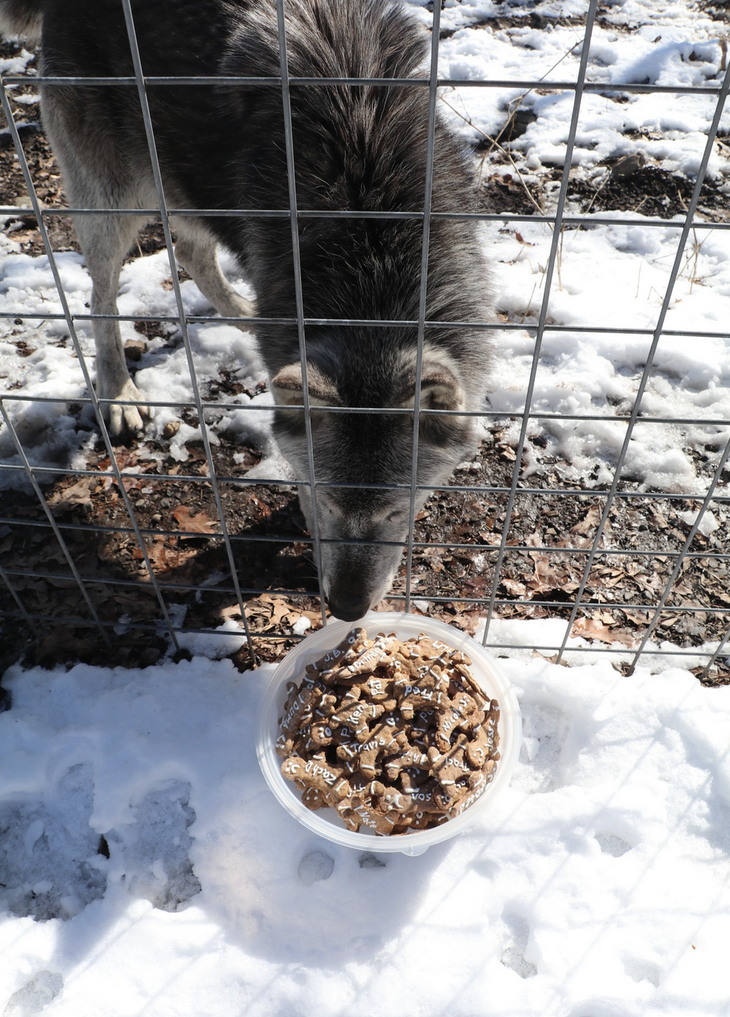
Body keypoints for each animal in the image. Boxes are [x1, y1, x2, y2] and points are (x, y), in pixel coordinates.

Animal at [1, 0, 492, 618]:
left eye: (395, 513)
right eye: (327, 503)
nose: (345, 609)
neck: (372, 257)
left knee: (191, 252)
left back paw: (245, 312)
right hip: (114, 202)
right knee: (100, 295)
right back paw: (118, 392)